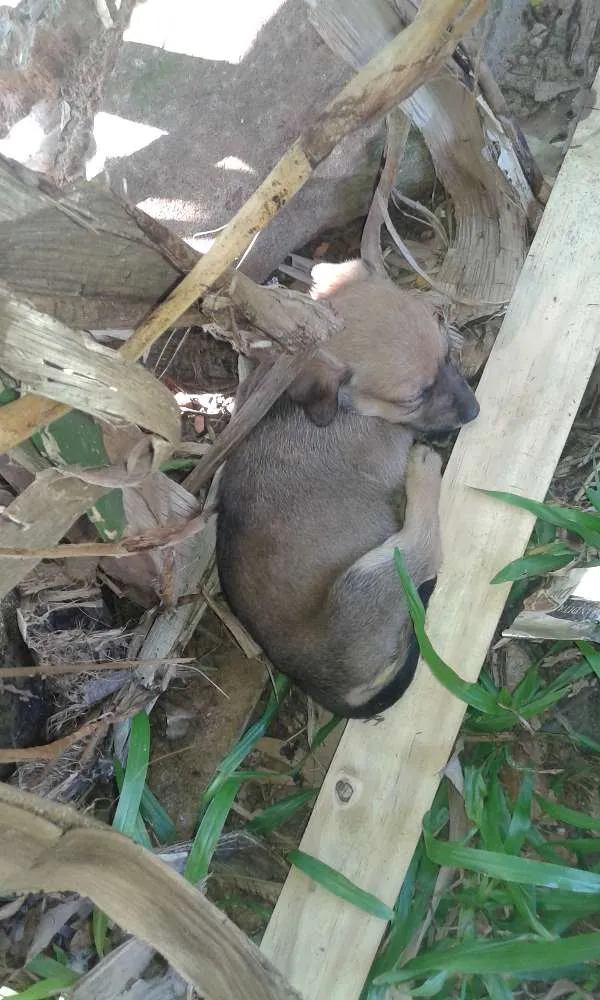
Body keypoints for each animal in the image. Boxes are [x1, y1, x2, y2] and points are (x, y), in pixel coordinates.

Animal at [216, 260, 478, 720]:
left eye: (448, 356)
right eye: (414, 397)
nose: (475, 410)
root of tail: (322, 686)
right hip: (372, 573)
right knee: (424, 548)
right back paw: (424, 471)